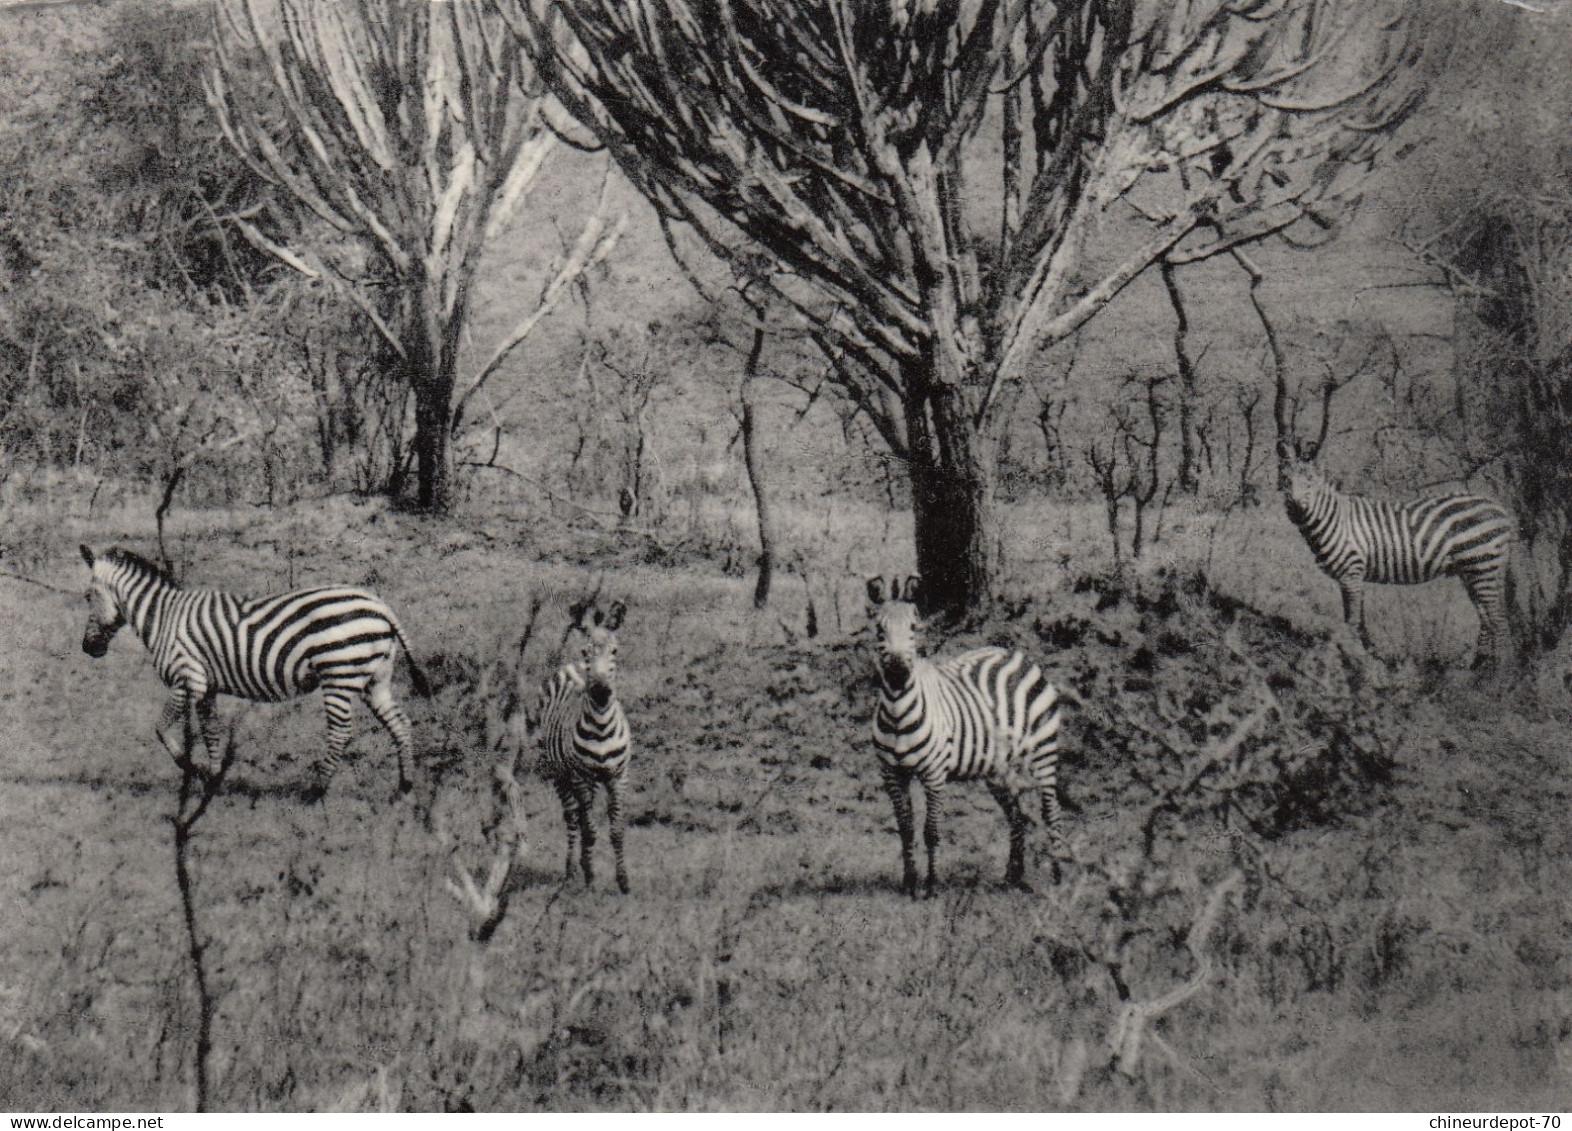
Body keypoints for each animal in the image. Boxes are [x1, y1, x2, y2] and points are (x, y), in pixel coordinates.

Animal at [79, 547, 430, 795]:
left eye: (87, 596)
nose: (87, 648)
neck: (164, 617)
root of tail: (380, 606)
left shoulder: (187, 678)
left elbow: (161, 729)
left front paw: (191, 768)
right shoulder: (206, 687)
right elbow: (211, 732)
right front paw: (213, 780)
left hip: (339, 674)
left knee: (341, 731)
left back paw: (316, 791)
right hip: (374, 678)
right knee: (399, 722)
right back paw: (405, 786)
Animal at [534, 597, 631, 899]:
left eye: (615, 651)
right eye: (586, 651)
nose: (600, 691)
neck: (601, 726)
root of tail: (571, 666)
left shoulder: (618, 776)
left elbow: (616, 829)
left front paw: (623, 882)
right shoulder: (581, 776)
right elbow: (589, 829)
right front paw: (591, 879)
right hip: (559, 773)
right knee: (573, 817)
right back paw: (571, 871)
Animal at [861, 578, 1068, 899]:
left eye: (914, 628)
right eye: (879, 630)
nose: (897, 673)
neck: (896, 711)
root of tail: (1013, 654)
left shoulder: (934, 774)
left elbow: (931, 831)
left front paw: (931, 886)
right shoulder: (892, 774)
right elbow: (906, 829)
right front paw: (909, 884)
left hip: (1043, 752)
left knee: (1051, 811)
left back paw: (1057, 879)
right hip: (998, 770)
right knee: (1017, 815)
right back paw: (1013, 877)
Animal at [1282, 459, 1515, 663]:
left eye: (1310, 481)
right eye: (1286, 481)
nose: (1294, 507)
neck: (1335, 521)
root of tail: (1500, 510)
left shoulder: (1351, 573)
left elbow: (1352, 621)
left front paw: (1350, 656)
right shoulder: (1351, 577)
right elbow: (1359, 621)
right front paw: (1364, 656)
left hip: (1482, 564)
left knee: (1498, 620)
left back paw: (1498, 673)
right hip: (1471, 571)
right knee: (1486, 617)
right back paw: (1478, 668)